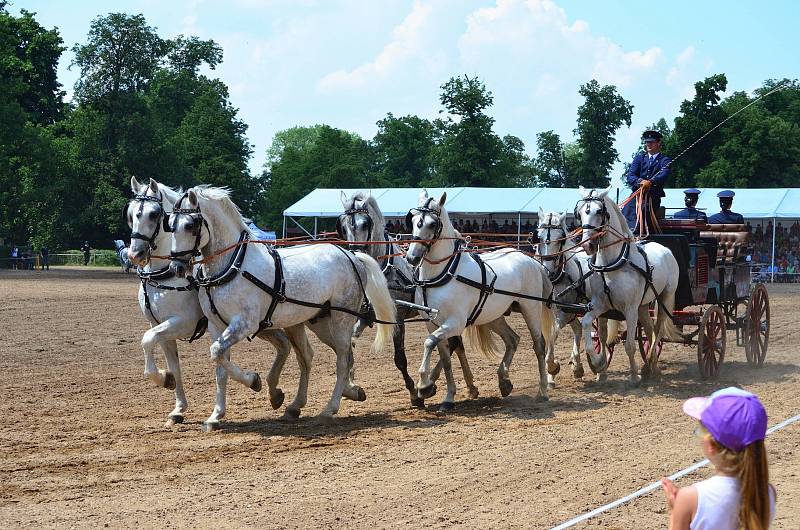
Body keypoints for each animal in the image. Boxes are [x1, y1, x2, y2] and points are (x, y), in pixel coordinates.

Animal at [126, 178, 296, 424]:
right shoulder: (159, 325)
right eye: (131, 214)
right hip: (264, 325)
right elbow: (173, 364)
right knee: (283, 345)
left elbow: (147, 340)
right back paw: (275, 394)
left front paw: (164, 380)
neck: (164, 274)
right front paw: (177, 406)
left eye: (154, 214)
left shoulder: (182, 323)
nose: (134, 254)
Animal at [169, 186, 396, 424]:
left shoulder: (244, 324)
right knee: (321, 356)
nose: (176, 267)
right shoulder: (216, 326)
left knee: (342, 360)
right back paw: (310, 402)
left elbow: (217, 353)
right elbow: (219, 364)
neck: (233, 265)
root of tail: (352, 256)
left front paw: (254, 380)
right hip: (319, 323)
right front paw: (216, 415)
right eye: (170, 224)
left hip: (341, 320)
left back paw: (330, 408)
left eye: (190, 225)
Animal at [338, 191, 482, 404]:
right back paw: (470, 386)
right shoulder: (365, 317)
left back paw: (432, 383)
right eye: (343, 226)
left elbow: (400, 359)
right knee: (456, 344)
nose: (356, 254)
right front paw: (351, 386)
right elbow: (351, 344)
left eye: (365, 224)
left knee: (453, 344)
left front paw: (415, 392)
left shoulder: (397, 318)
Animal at [406, 190, 556, 408]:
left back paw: (543, 390)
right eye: (413, 220)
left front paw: (424, 385)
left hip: (531, 308)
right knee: (512, 339)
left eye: (432, 224)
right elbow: (444, 356)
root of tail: (531, 260)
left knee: (539, 345)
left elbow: (429, 343)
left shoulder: (455, 322)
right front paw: (448, 396)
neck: (441, 274)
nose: (412, 257)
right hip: (494, 315)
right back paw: (504, 382)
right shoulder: (432, 323)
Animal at [576, 184, 680, 382]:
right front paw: (600, 366)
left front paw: (633, 376)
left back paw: (650, 365)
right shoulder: (600, 305)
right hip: (643, 305)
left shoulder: (630, 309)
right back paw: (650, 365)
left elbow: (630, 345)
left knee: (658, 330)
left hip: (664, 298)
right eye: (580, 212)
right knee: (649, 330)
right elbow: (593, 331)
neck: (611, 264)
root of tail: (665, 249)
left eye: (599, 211)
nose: (587, 245)